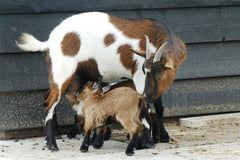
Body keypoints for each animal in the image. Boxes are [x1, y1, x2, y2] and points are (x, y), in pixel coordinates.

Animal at [15, 11, 187, 151]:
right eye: (145, 70)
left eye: (160, 72)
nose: (146, 95)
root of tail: (50, 40)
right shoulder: (139, 77)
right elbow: (146, 108)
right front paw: (147, 142)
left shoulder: (154, 88)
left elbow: (159, 108)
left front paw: (162, 136)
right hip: (62, 72)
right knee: (50, 102)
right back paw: (52, 143)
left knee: (48, 96)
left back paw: (55, 135)